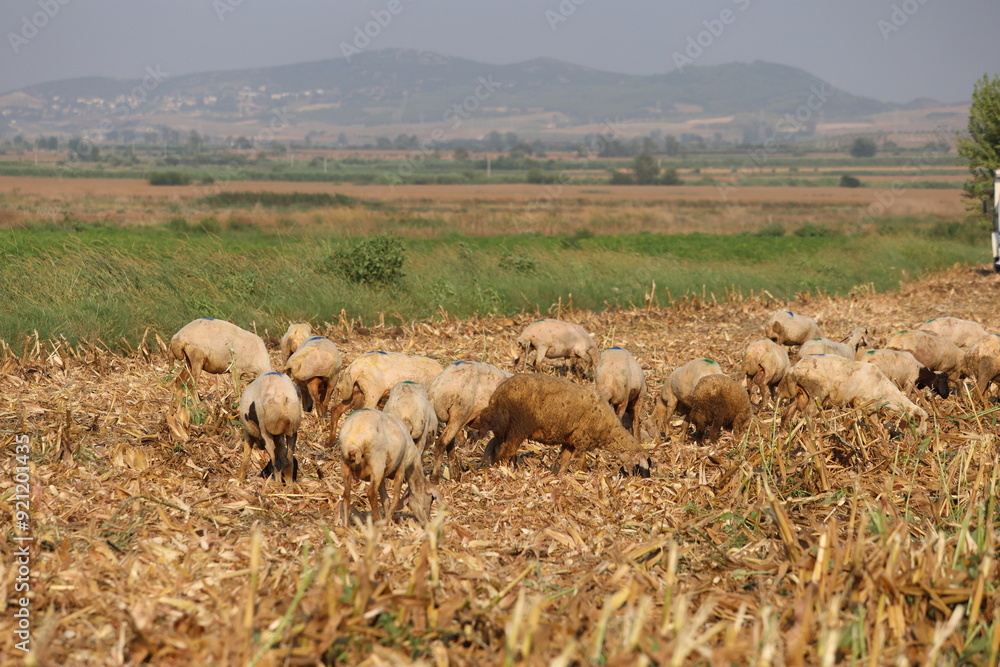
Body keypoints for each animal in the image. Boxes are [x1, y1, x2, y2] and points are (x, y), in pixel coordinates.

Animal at [479, 373, 651, 477]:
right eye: (640, 465)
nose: (641, 479)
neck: (607, 428)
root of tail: (496, 397)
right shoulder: (582, 440)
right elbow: (581, 464)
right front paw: (584, 475)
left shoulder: (570, 441)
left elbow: (565, 461)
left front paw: (561, 476)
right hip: (518, 427)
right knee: (505, 452)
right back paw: (503, 470)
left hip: (504, 429)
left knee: (497, 447)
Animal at [778, 354, 927, 427]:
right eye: (919, 422)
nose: (921, 438)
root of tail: (793, 369)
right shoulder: (859, 404)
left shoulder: (871, 409)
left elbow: (878, 428)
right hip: (817, 394)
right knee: (808, 415)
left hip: (801, 395)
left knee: (788, 413)